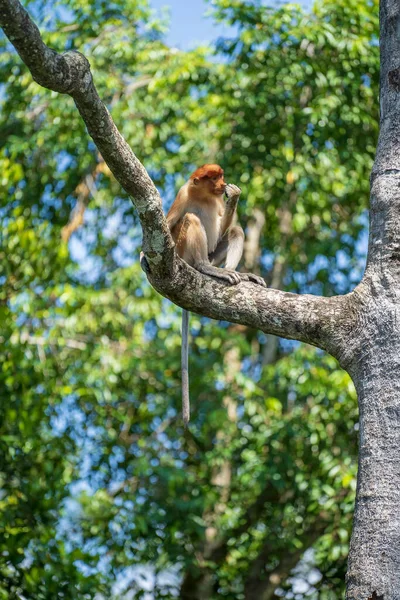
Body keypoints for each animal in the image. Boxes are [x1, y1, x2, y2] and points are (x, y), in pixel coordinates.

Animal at [166, 164, 266, 426]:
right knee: (191, 219)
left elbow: (224, 227)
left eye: (221, 177)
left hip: (214, 254)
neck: (203, 195)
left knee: (235, 230)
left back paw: (235, 274)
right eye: (214, 178)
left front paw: (235, 195)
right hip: (184, 251)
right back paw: (205, 268)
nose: (223, 185)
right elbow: (169, 223)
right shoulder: (182, 194)